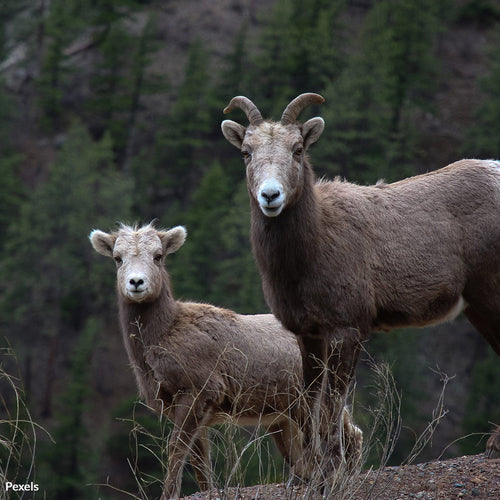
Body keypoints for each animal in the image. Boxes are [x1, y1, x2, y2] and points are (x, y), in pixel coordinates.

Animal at [91, 224, 364, 500]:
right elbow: (200, 465)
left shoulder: (198, 391)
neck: (162, 336)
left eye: (158, 256)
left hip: (312, 404)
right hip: (283, 418)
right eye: (118, 258)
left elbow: (176, 449)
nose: (136, 282)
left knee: (349, 435)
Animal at [222, 91, 500, 464]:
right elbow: (311, 403)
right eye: (246, 152)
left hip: (488, 296)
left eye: (298, 149)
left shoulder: (347, 329)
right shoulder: (308, 335)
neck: (313, 247)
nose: (270, 195)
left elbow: (332, 405)